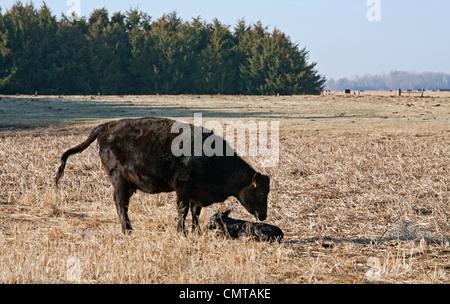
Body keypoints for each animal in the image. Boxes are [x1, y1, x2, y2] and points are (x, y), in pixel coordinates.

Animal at [54, 117, 268, 234]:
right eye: (260, 192)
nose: (263, 215)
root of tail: (106, 126)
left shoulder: (196, 192)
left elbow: (195, 212)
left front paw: (195, 231)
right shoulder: (183, 188)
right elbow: (182, 210)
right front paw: (181, 232)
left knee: (121, 204)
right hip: (119, 180)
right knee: (121, 204)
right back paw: (127, 230)